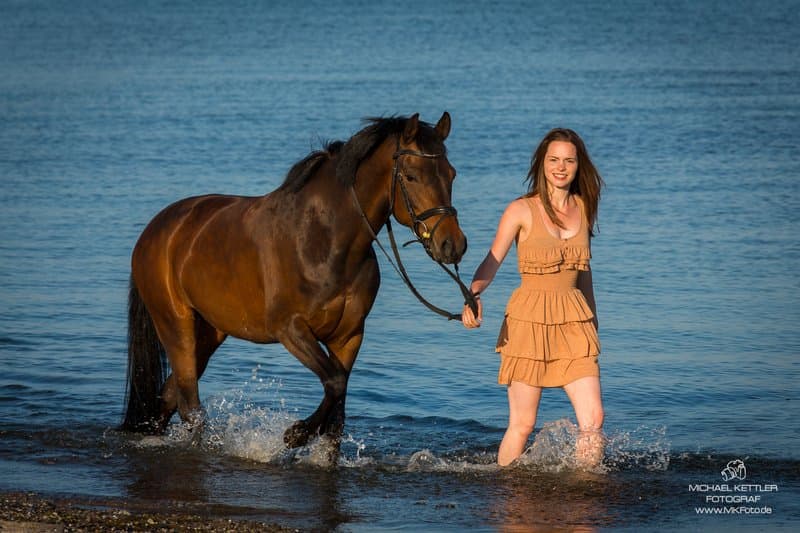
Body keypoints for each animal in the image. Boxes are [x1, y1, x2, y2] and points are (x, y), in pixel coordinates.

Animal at [121, 112, 467, 450]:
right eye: (411, 176)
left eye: (451, 174)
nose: (453, 245)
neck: (324, 240)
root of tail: (156, 229)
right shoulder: (291, 329)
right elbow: (334, 383)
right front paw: (297, 433)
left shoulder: (349, 335)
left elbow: (337, 411)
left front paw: (310, 437)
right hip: (176, 326)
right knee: (190, 407)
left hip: (208, 331)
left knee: (169, 398)